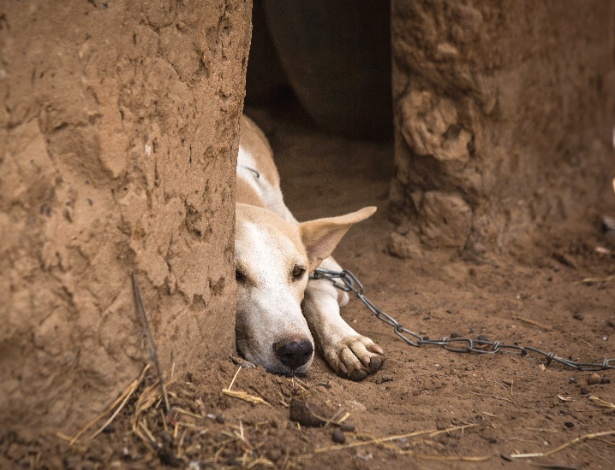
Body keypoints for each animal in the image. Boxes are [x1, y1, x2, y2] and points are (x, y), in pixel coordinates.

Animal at [233, 115, 382, 380]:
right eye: (235, 274)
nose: (296, 350)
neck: (240, 194)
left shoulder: (332, 271)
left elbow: (317, 292)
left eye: (297, 272)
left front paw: (347, 342)